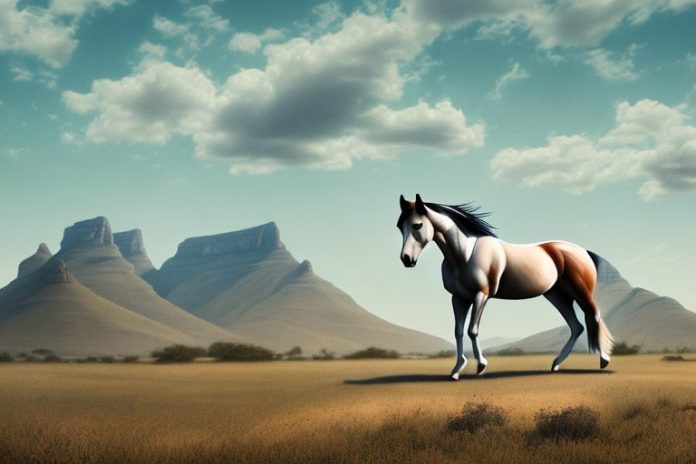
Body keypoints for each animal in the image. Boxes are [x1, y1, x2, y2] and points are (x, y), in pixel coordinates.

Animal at [397, 194, 613, 379]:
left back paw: (604, 359)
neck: (465, 255)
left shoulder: (481, 295)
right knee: (576, 327)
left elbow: (472, 330)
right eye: (400, 226)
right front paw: (456, 370)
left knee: (593, 315)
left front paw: (481, 366)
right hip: (556, 295)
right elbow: (458, 331)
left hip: (580, 292)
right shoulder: (459, 298)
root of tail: (583, 251)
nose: (406, 259)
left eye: (417, 225)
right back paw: (555, 364)